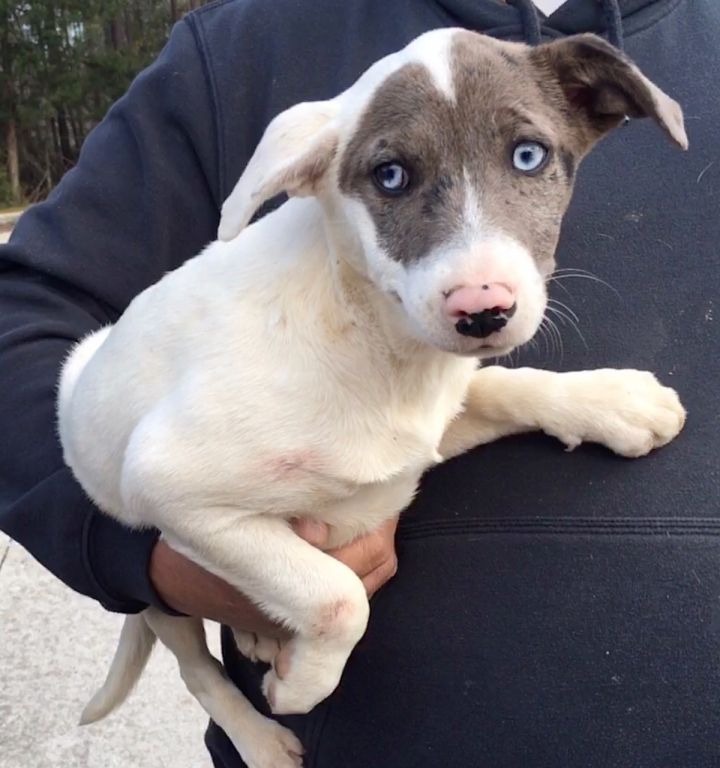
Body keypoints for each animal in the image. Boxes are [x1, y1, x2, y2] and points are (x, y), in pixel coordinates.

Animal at [56, 28, 688, 768]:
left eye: (528, 157)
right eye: (390, 176)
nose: (482, 310)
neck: (376, 341)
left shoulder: (429, 425)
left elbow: (508, 385)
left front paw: (616, 402)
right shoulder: (171, 485)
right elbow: (340, 597)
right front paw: (301, 685)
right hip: (155, 581)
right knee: (196, 667)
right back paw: (261, 739)